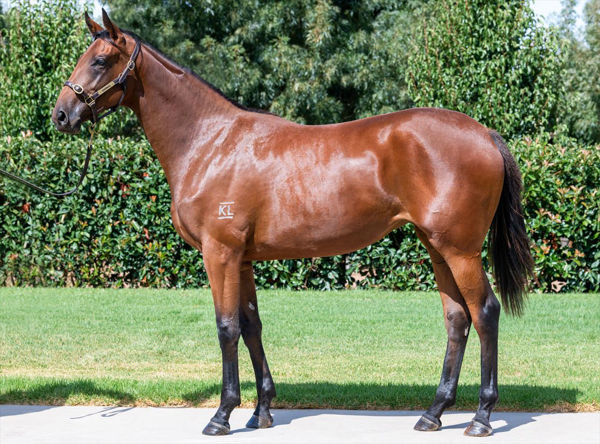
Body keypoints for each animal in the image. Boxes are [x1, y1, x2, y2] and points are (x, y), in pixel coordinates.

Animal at [50, 9, 528, 438]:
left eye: (100, 60)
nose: (61, 114)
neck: (210, 142)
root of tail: (484, 134)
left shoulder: (220, 253)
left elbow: (226, 328)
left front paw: (221, 416)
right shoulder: (242, 259)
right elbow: (251, 326)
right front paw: (260, 411)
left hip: (460, 250)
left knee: (485, 313)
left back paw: (482, 417)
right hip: (436, 246)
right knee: (457, 319)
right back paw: (434, 413)